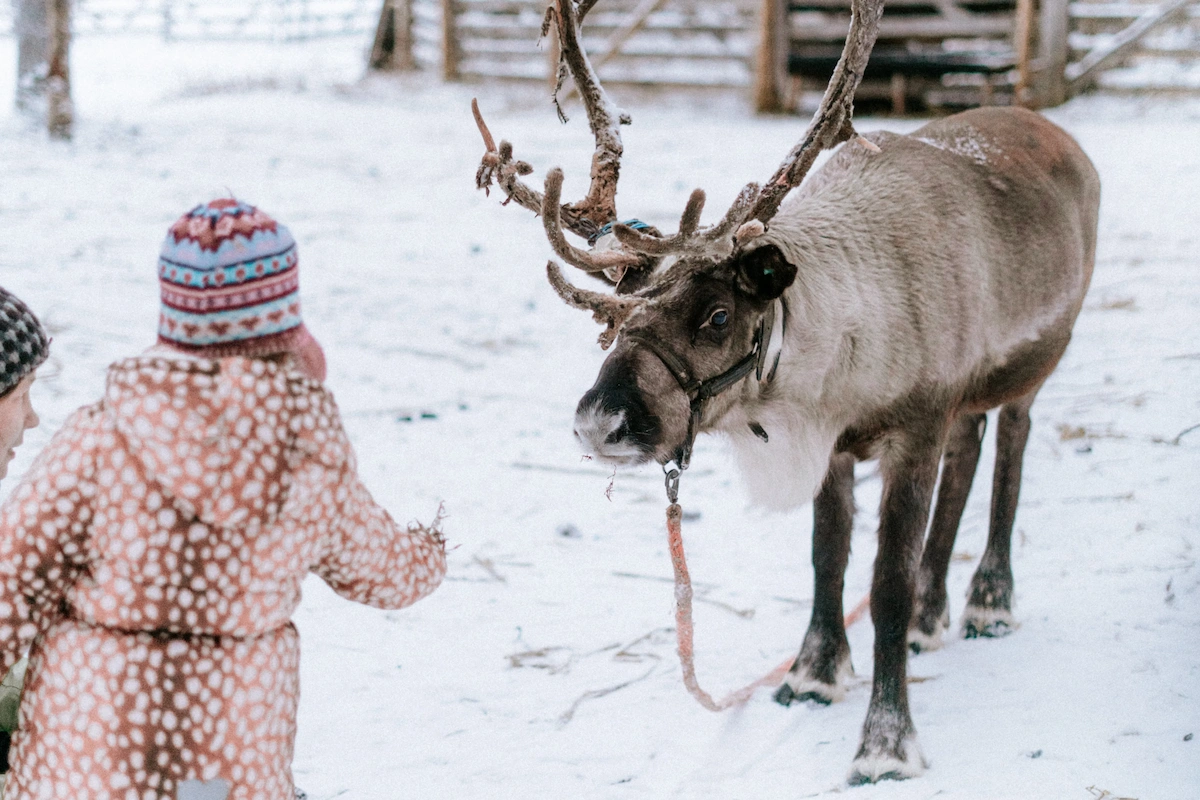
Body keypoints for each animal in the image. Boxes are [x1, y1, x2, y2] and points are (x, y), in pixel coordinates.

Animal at [472, 0, 1099, 783]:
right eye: (612, 317)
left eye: (717, 315)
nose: (599, 423)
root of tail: (1063, 137)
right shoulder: (837, 444)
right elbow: (826, 557)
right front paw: (813, 675)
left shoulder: (917, 425)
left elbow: (885, 581)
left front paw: (886, 742)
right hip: (969, 396)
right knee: (970, 454)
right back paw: (934, 619)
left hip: (1038, 363)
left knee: (1010, 444)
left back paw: (990, 601)